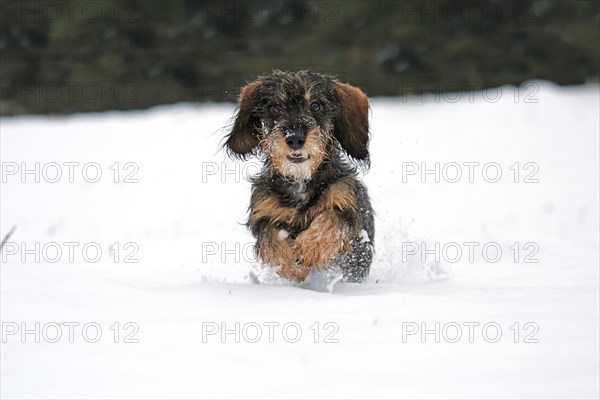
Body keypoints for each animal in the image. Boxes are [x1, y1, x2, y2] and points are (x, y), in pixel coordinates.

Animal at [224, 70, 372, 282]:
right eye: (276, 107)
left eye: (316, 105)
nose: (294, 138)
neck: (300, 181)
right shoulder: (264, 212)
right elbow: (273, 238)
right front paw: (292, 267)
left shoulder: (346, 203)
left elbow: (332, 219)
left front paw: (310, 247)